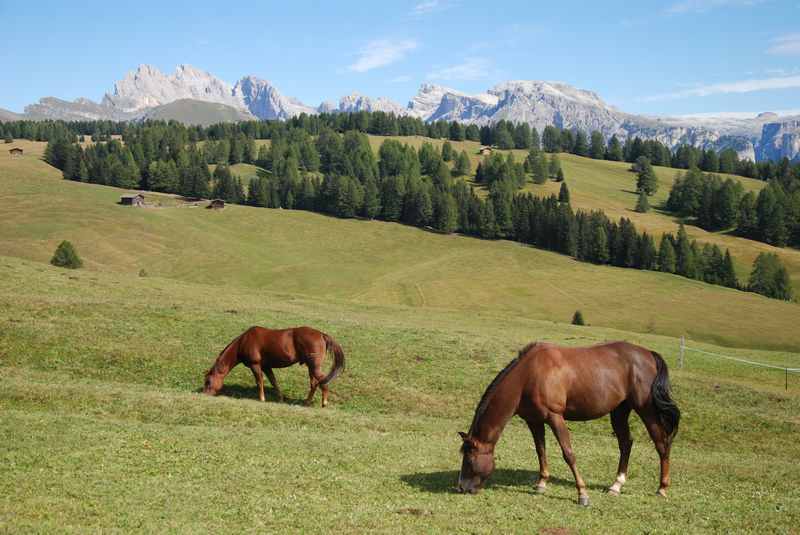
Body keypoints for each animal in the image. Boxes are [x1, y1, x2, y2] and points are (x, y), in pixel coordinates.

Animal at [203, 324, 344, 408]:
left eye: (208, 381)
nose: (204, 395)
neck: (243, 342)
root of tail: (321, 334)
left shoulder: (255, 365)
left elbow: (259, 382)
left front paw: (262, 399)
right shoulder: (266, 367)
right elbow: (274, 382)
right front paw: (280, 399)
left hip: (314, 366)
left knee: (322, 382)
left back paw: (323, 403)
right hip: (311, 367)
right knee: (314, 383)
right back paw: (307, 402)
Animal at [460, 344, 680, 506]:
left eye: (470, 460)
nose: (461, 487)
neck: (528, 375)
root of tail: (648, 354)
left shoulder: (555, 417)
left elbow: (568, 454)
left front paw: (582, 494)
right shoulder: (534, 421)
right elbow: (540, 451)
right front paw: (541, 483)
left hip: (647, 410)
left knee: (661, 444)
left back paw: (662, 488)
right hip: (619, 410)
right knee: (626, 443)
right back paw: (616, 485)